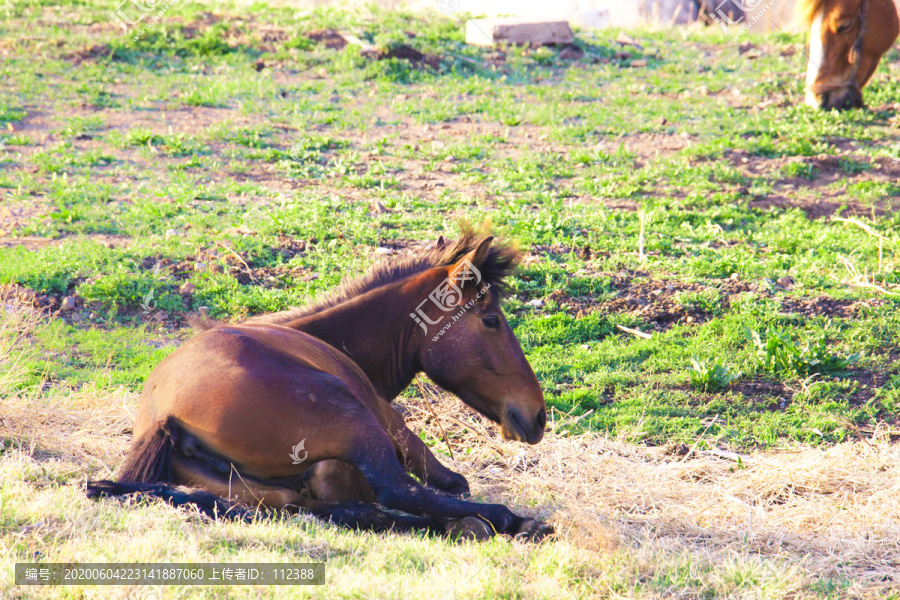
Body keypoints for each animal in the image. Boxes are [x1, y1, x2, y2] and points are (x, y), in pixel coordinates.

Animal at [89, 229, 556, 540]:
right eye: (491, 320)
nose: (537, 415)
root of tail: (163, 416)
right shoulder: (395, 430)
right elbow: (451, 482)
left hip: (262, 491)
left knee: (347, 511)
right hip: (354, 421)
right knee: (399, 491)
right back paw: (504, 519)